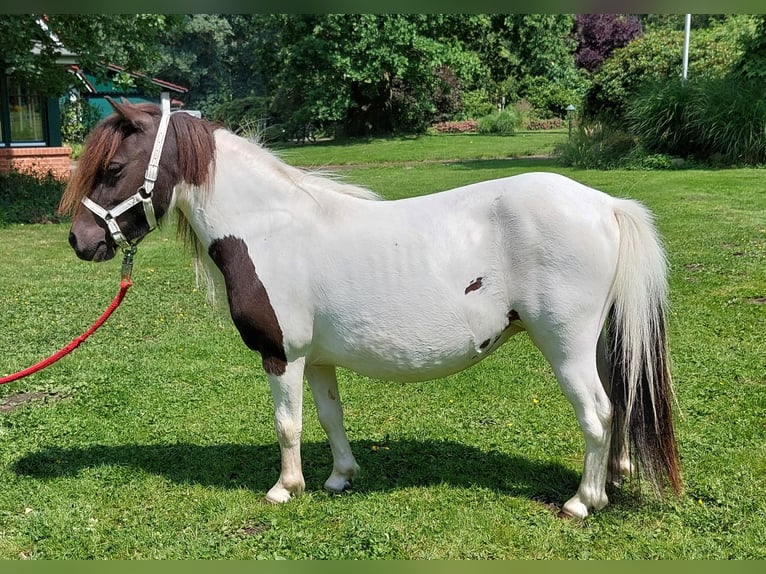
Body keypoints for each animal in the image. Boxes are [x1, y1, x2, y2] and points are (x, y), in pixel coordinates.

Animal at [61, 99, 684, 520]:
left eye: (113, 168)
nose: (80, 242)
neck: (269, 227)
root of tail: (605, 204)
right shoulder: (315, 359)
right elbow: (329, 417)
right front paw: (340, 477)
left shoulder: (281, 355)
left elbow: (287, 424)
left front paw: (286, 488)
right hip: (595, 342)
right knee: (622, 401)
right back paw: (616, 479)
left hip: (566, 346)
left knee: (598, 413)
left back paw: (584, 500)